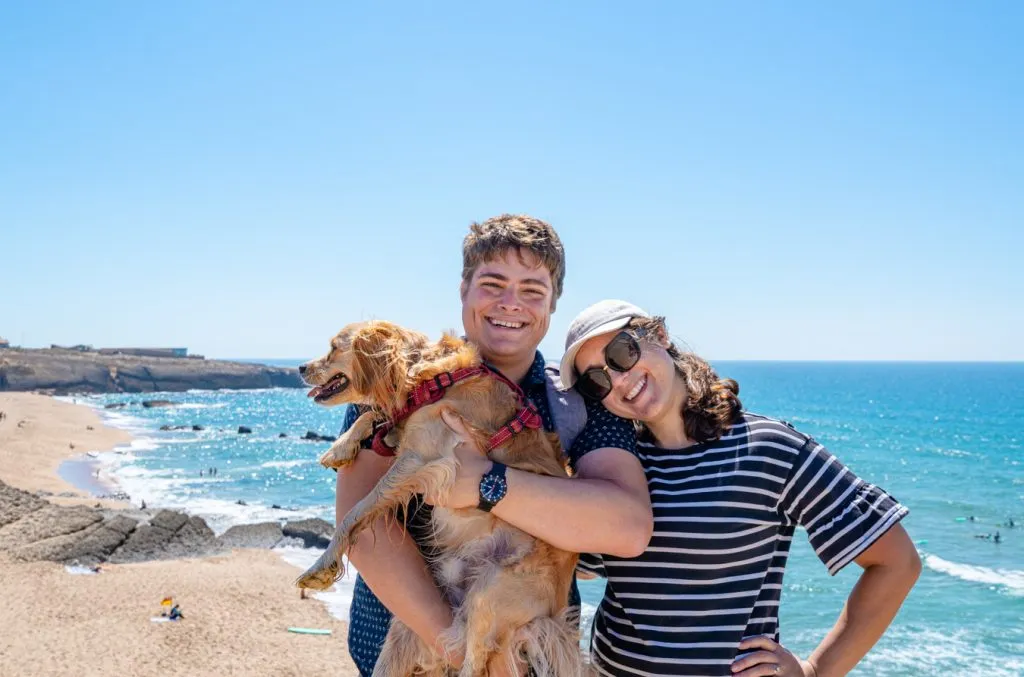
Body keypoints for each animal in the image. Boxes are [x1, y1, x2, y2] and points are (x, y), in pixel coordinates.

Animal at [296, 321, 585, 675]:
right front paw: (341, 446)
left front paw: (322, 564)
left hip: (491, 593)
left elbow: (356, 510)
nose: (300, 368)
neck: (426, 378)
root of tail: (554, 613)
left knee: (474, 665)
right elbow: (375, 417)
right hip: (407, 630)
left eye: (335, 347)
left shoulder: (420, 459)